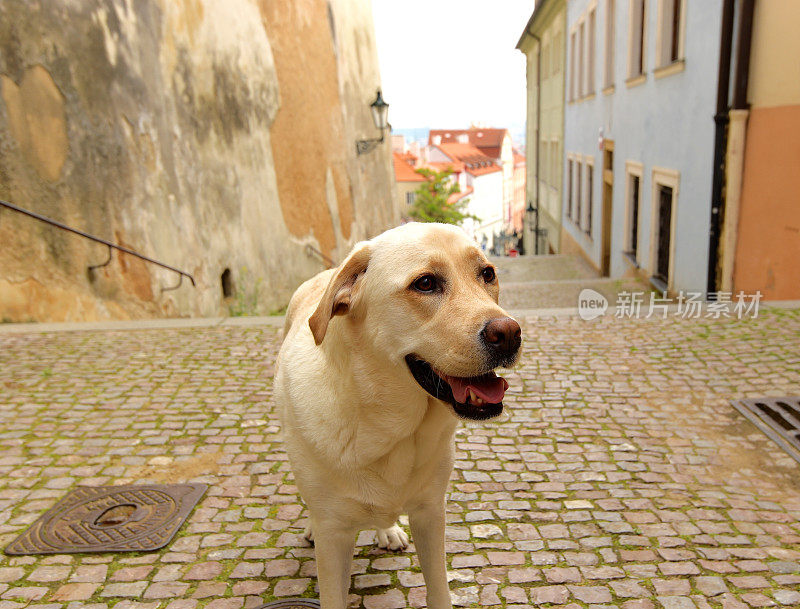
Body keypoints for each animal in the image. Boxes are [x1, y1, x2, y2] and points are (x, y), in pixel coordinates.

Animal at [278, 223, 520, 608]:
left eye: (487, 274)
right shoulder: (334, 540)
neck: (387, 427)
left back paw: (387, 529)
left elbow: (439, 591)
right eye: (425, 283)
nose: (510, 334)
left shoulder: (431, 514)